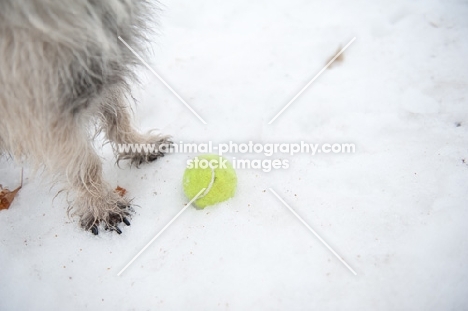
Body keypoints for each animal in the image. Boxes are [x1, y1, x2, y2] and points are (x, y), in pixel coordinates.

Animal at [0, 0, 168, 234]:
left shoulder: (95, 63)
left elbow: (117, 116)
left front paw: (138, 144)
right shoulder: (36, 105)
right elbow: (83, 162)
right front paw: (100, 203)